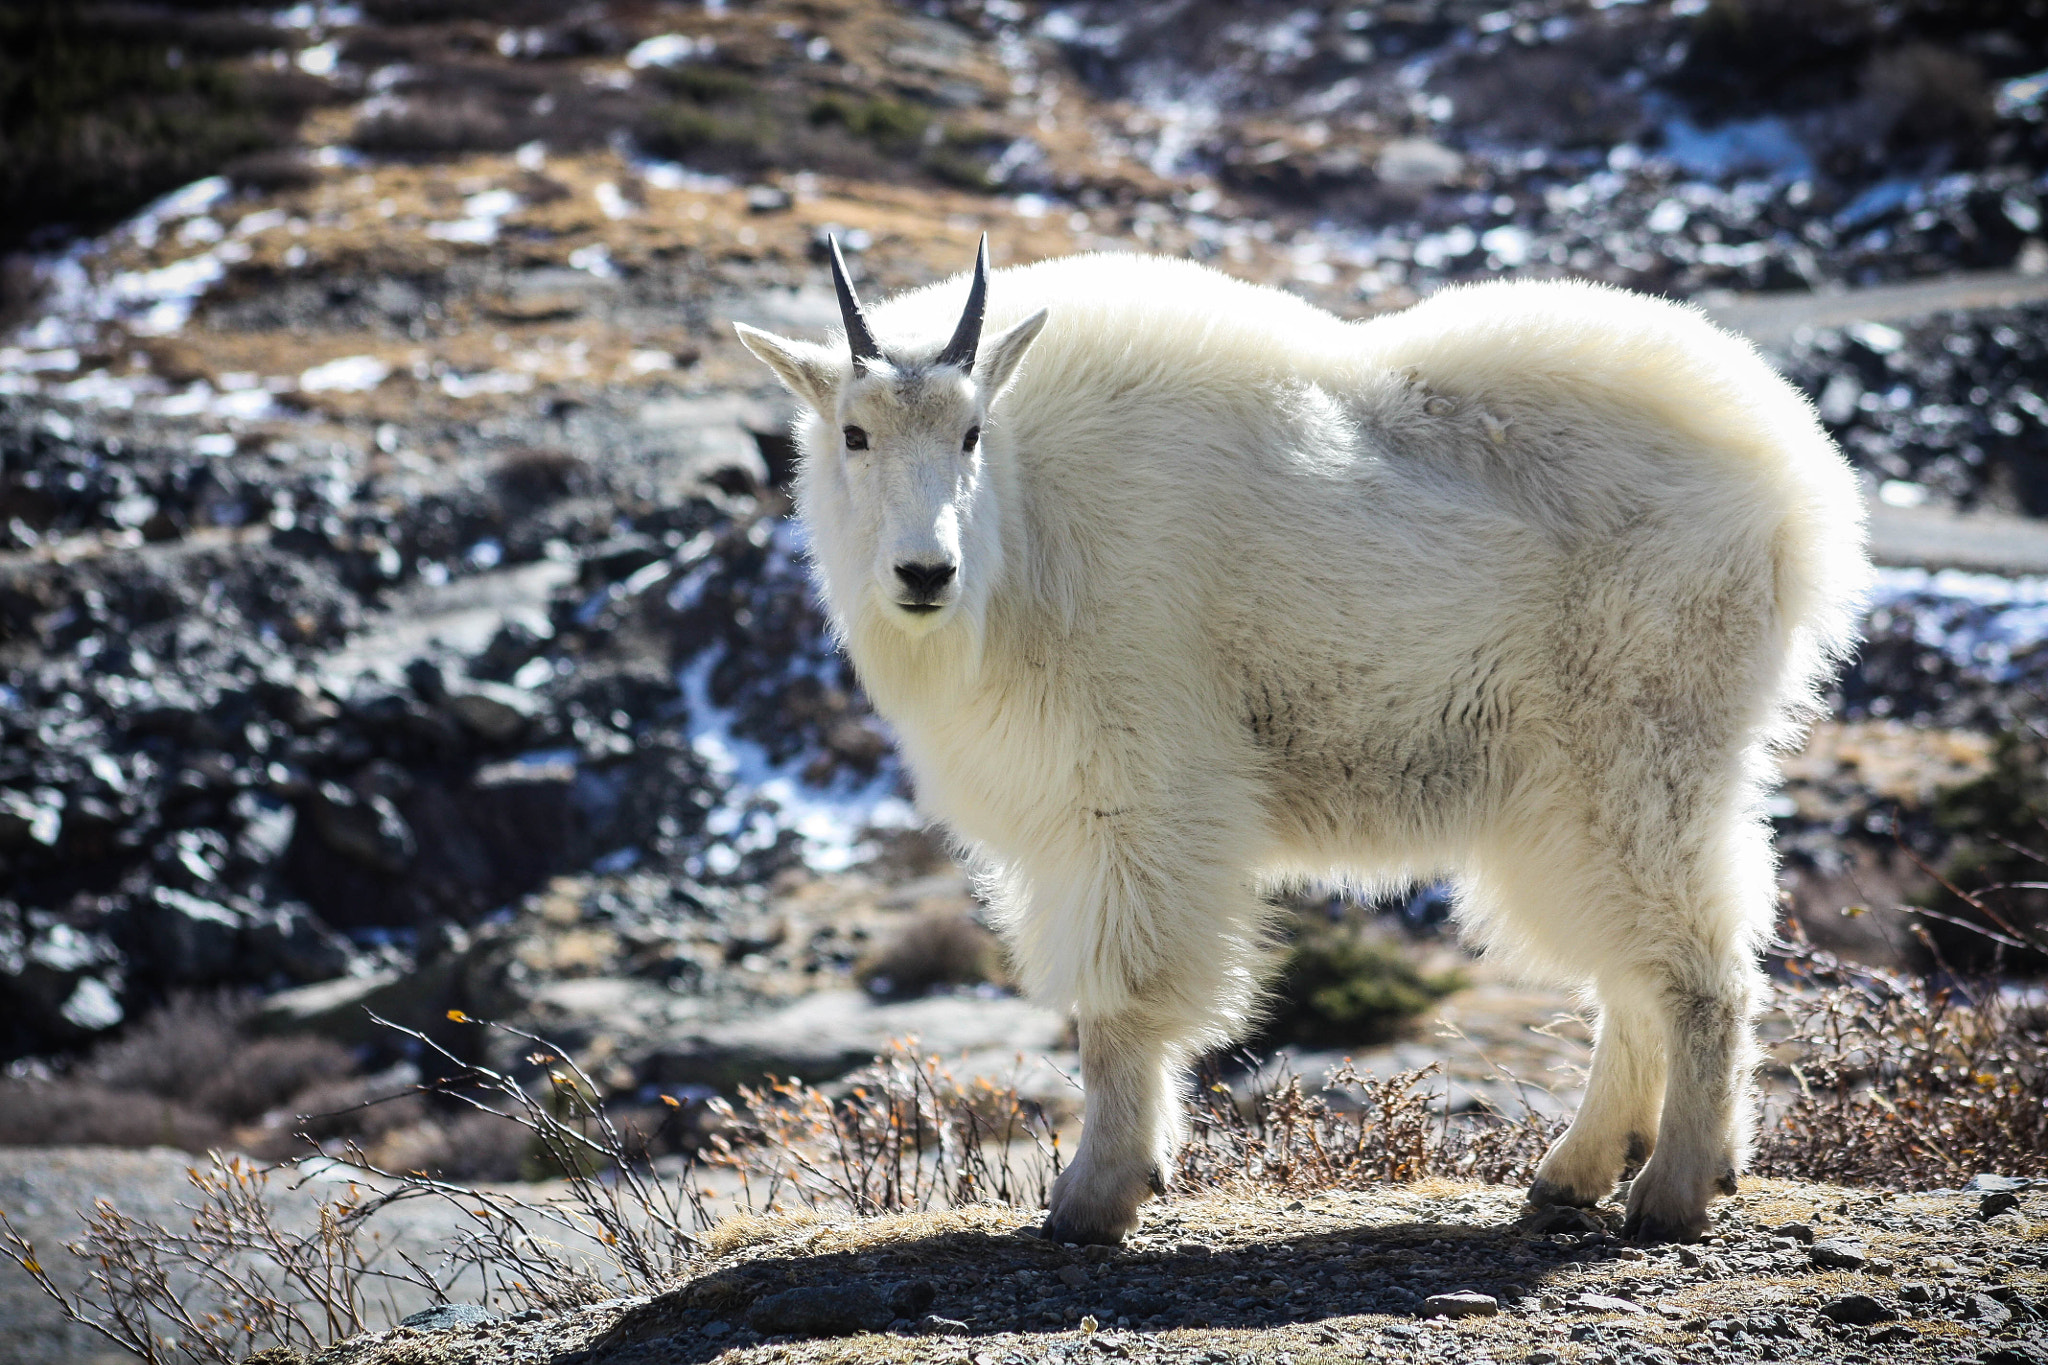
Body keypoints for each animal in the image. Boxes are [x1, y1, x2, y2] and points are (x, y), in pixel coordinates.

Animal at [736, 239, 1868, 1244]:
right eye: (853, 434)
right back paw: (1575, 1172)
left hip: (1641, 743)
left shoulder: (1138, 786)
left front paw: (1095, 1198)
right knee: (1633, 967)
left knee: (1700, 964)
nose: (924, 575)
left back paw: (1673, 1188)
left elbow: (1120, 1004)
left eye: (971, 432)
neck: (1024, 528)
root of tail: (1801, 486)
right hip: (1569, 786)